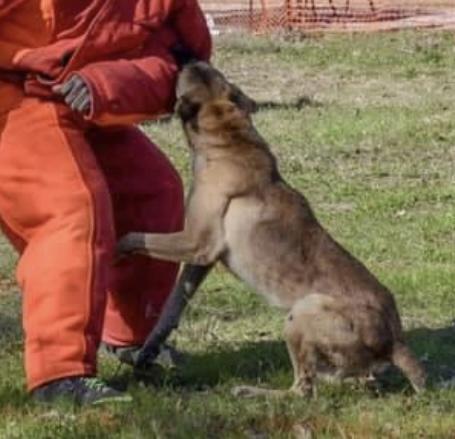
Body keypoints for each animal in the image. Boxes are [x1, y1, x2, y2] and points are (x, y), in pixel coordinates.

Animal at [118, 61, 428, 396]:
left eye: (187, 76)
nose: (188, 59)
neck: (226, 135)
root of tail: (394, 342)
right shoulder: (201, 261)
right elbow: (172, 305)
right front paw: (148, 349)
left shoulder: (196, 243)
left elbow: (136, 236)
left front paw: (115, 248)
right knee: (346, 379)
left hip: (302, 312)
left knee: (302, 390)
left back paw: (252, 391)